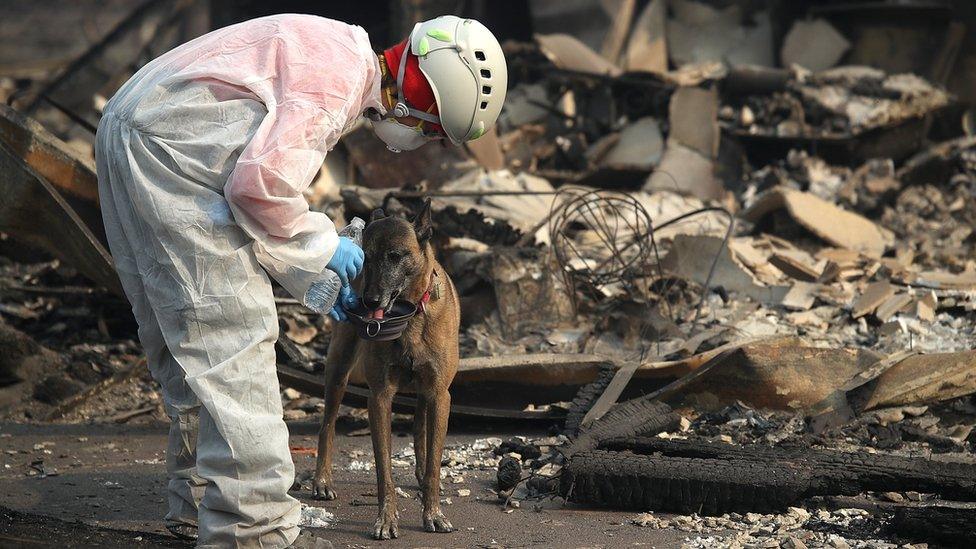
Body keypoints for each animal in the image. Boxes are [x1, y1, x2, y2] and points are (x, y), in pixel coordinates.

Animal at [314, 199, 464, 536]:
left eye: (395, 256)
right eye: (366, 258)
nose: (369, 301)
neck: (411, 318)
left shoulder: (440, 395)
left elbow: (434, 460)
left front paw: (433, 512)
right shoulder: (380, 397)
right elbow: (384, 468)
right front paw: (386, 519)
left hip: (425, 392)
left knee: (421, 427)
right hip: (338, 370)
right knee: (327, 424)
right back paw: (321, 481)